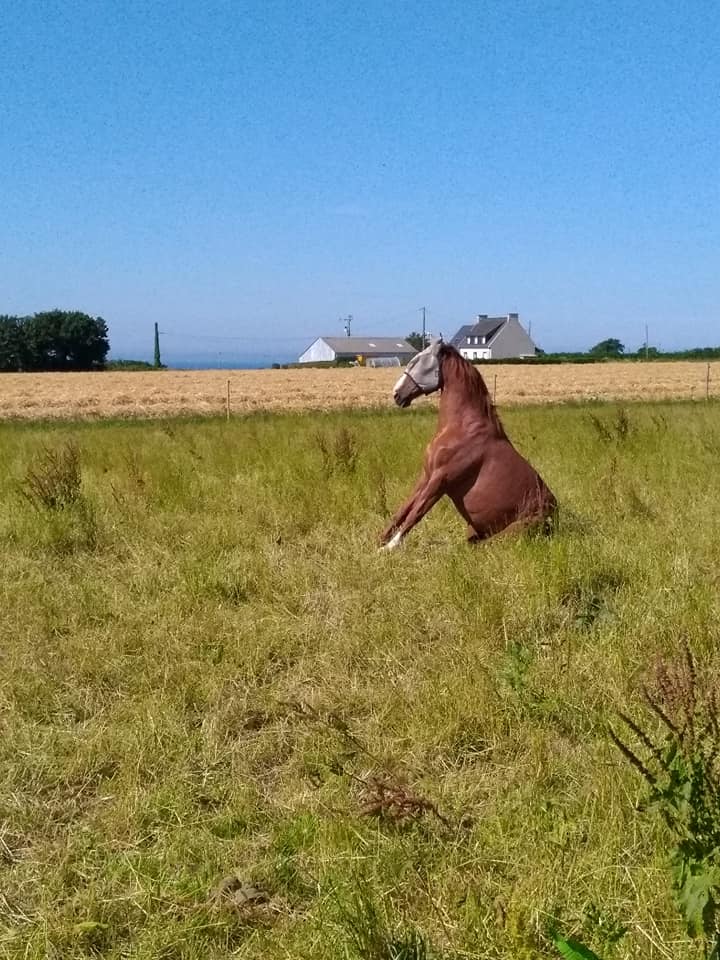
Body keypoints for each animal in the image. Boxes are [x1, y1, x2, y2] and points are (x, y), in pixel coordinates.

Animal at [382, 340, 556, 552]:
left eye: (416, 361)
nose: (396, 394)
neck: (462, 428)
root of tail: (556, 514)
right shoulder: (426, 476)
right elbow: (402, 511)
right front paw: (378, 542)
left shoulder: (440, 480)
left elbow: (416, 513)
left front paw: (389, 548)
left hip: (513, 530)